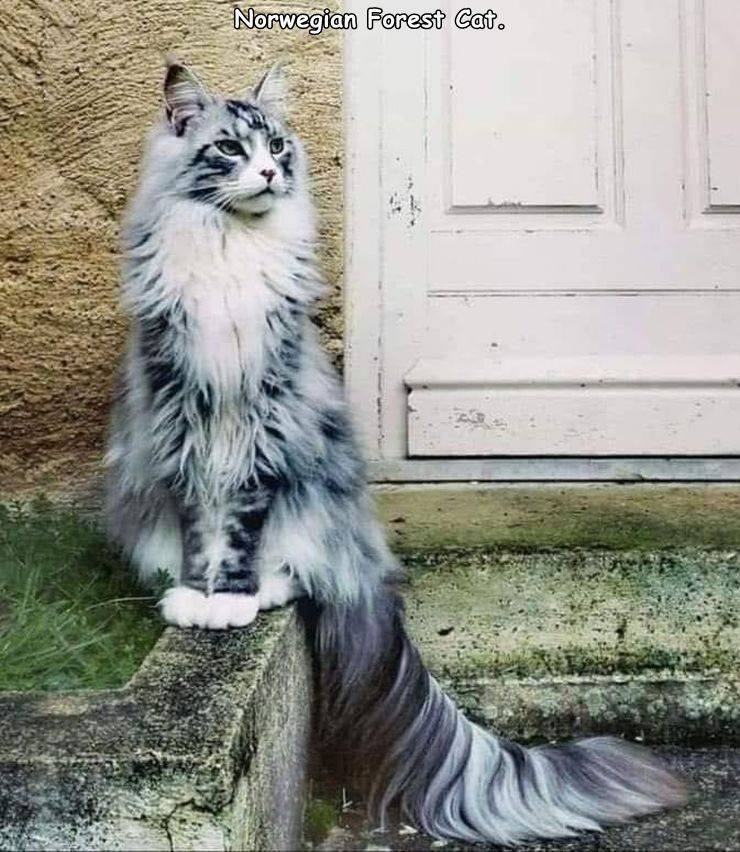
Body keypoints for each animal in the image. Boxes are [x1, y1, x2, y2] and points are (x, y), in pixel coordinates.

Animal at [105, 61, 688, 844]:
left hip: (317, 489)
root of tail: (367, 564)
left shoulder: (265, 422)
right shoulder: (182, 417)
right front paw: (199, 601)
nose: (269, 171)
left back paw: (269, 589)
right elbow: (203, 528)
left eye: (278, 147)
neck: (231, 246)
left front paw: (231, 599)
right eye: (229, 148)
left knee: (301, 566)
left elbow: (241, 530)